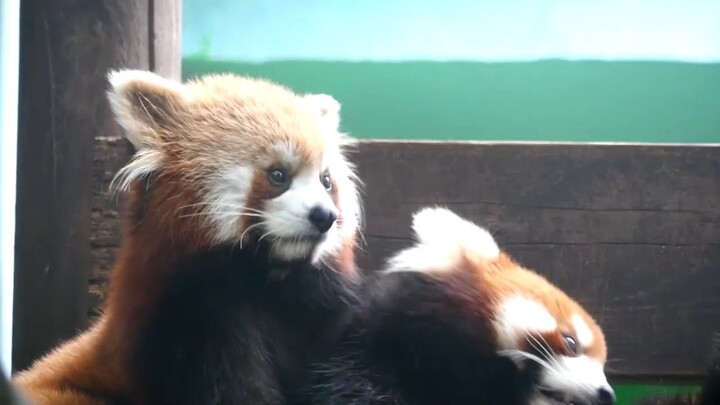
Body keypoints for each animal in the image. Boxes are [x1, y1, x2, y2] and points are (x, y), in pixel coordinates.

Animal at [11, 70, 360, 404]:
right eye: (278, 175)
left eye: (326, 181)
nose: (324, 216)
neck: (265, 283)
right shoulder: (194, 322)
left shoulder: (314, 315)